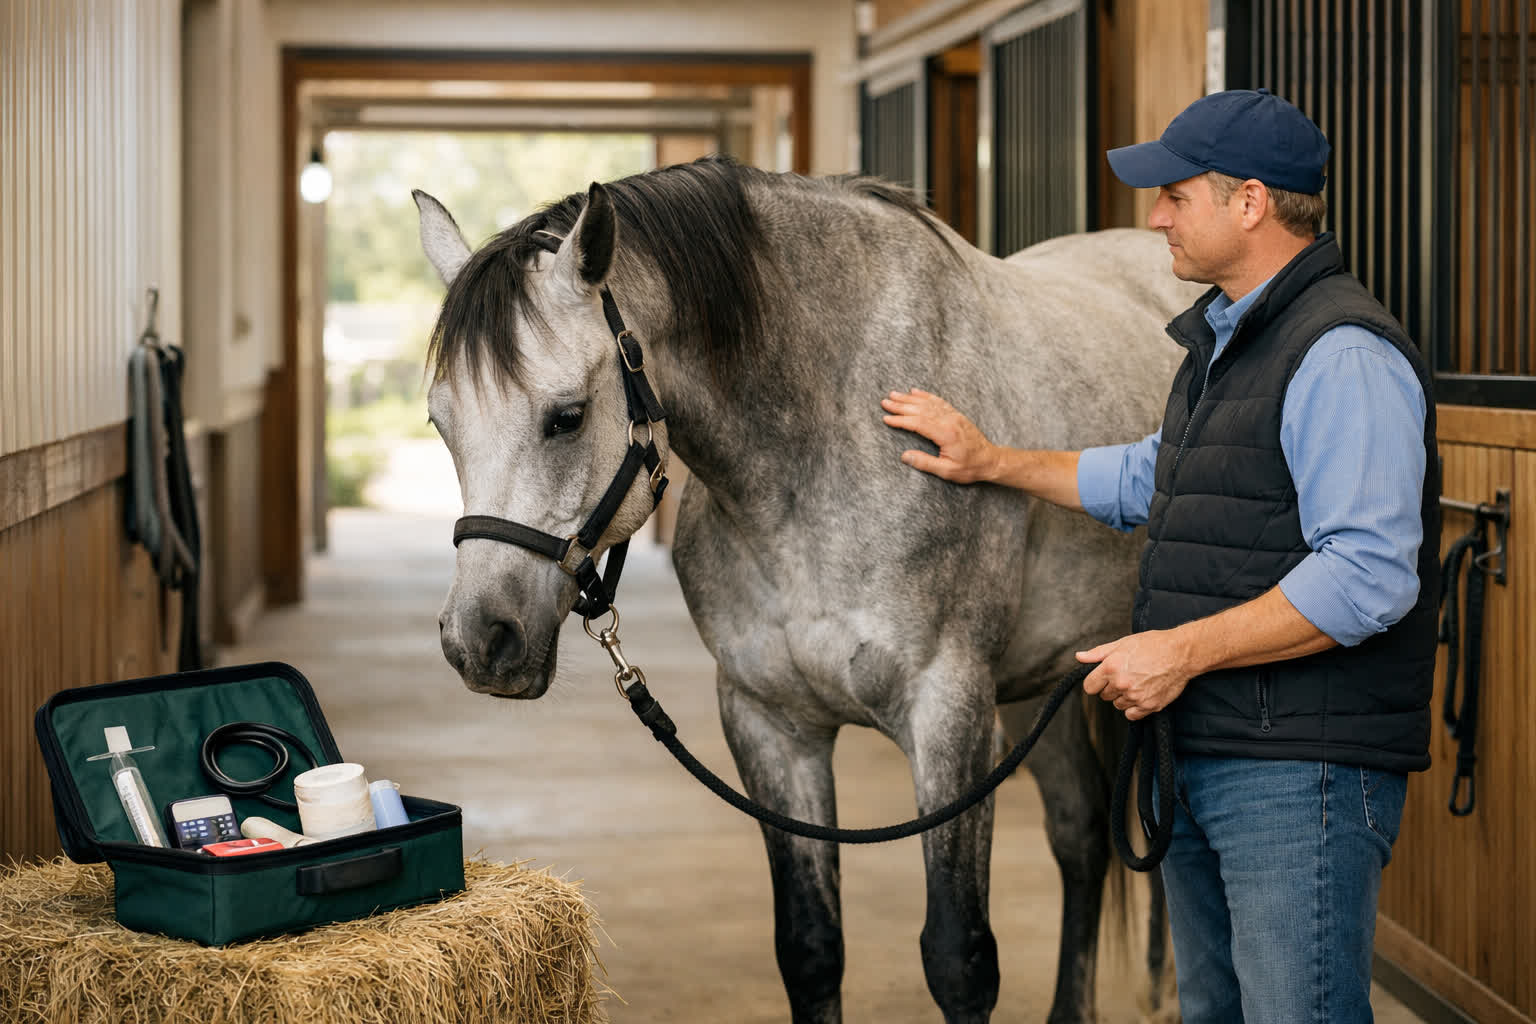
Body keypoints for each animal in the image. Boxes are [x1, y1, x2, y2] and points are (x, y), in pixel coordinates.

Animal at [413, 156, 1202, 1023]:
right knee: (1082, 833)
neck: (835, 432)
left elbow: (959, 957)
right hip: (1043, 680)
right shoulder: (771, 727)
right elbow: (812, 948)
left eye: (567, 416)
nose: (479, 640)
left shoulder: (950, 720)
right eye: (441, 421)